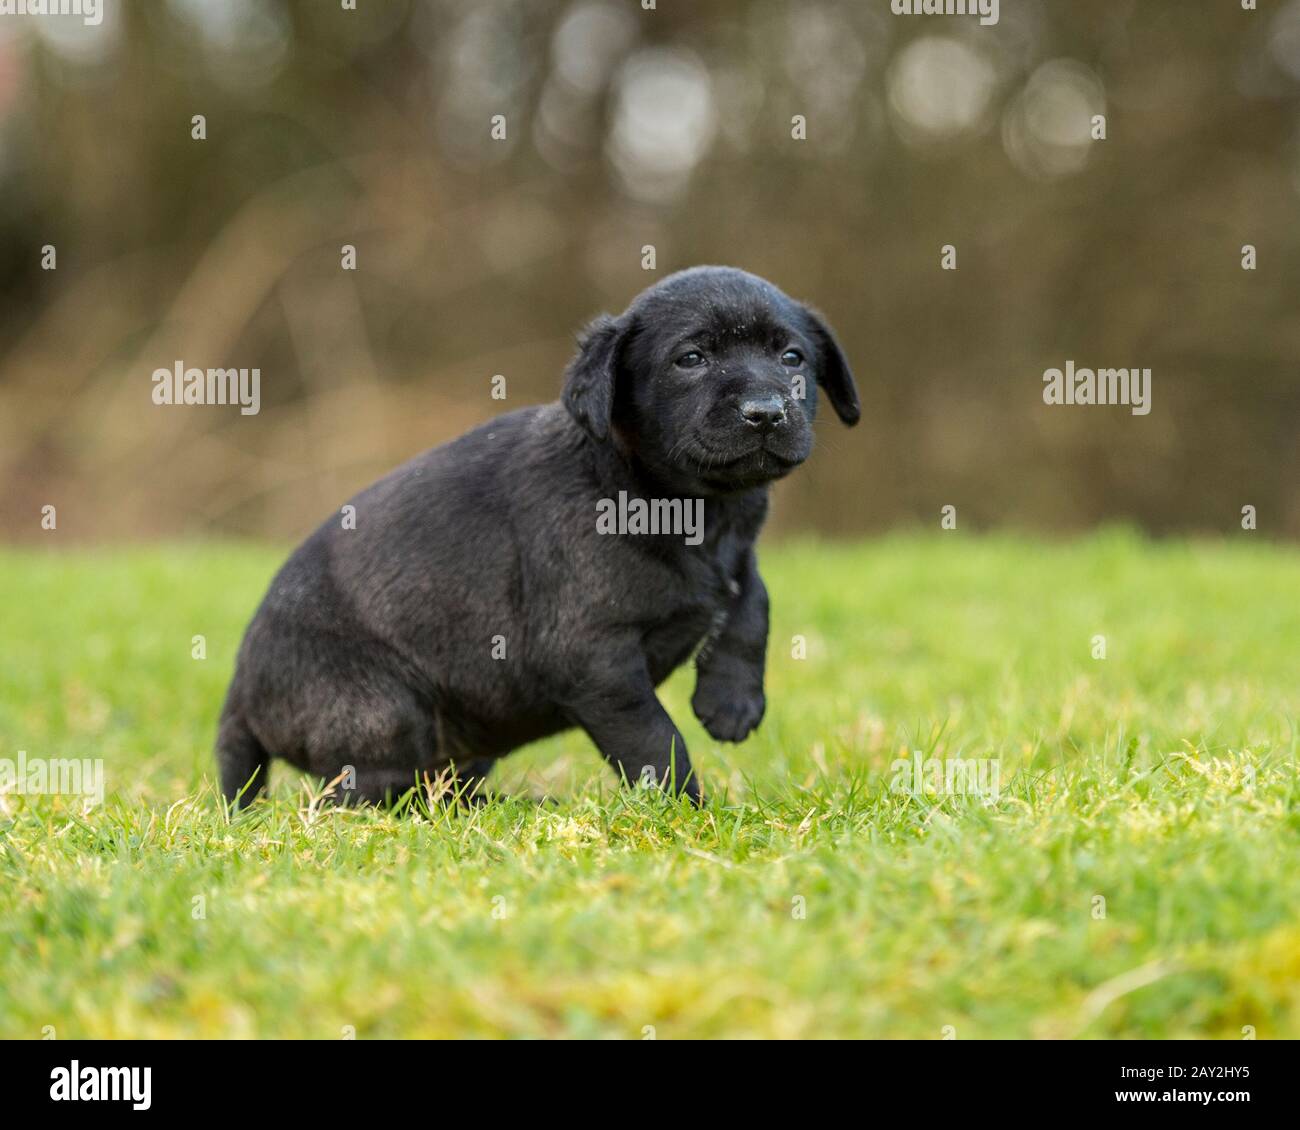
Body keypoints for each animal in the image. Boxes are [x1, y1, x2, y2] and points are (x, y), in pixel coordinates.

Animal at [218, 267, 857, 806]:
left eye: (793, 357)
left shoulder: (735, 557)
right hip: (382, 709)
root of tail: (239, 696)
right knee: (370, 795)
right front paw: (686, 811)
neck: (686, 505)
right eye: (691, 358)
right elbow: (654, 740)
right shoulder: (594, 658)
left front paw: (732, 702)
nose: (765, 411)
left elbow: (752, 600)